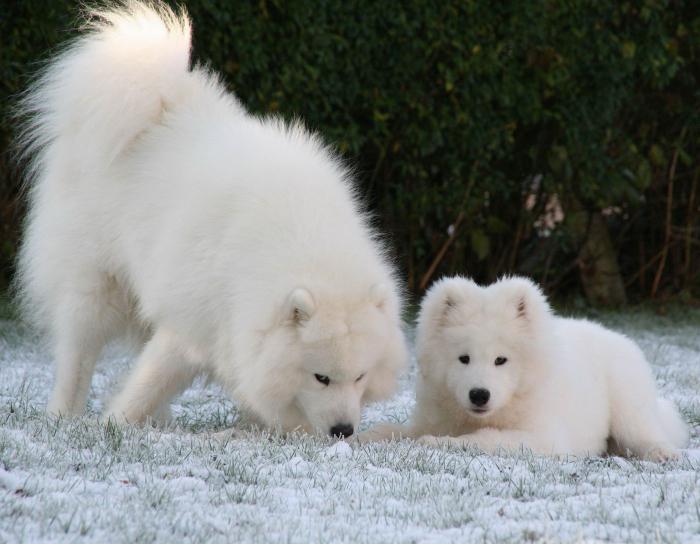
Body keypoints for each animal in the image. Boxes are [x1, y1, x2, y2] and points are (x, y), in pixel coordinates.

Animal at [13, 1, 408, 438]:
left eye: (360, 377)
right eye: (321, 378)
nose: (343, 430)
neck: (298, 238)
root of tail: (157, 108)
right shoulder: (193, 321)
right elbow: (152, 378)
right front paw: (116, 422)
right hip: (95, 285)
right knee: (78, 354)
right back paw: (64, 414)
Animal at [360, 276, 688, 460]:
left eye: (501, 360)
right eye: (463, 358)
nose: (479, 395)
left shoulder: (543, 436)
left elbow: (485, 438)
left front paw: (436, 444)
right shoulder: (432, 417)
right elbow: (393, 429)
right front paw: (362, 437)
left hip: (627, 404)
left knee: (646, 432)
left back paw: (661, 453)